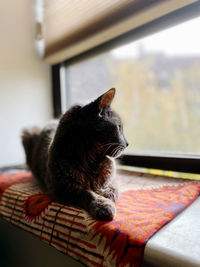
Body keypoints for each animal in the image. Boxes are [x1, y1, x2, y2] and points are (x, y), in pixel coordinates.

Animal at [21, 89, 128, 221]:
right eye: (119, 127)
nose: (127, 143)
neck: (91, 161)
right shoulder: (62, 188)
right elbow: (86, 193)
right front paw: (103, 205)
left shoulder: (113, 179)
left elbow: (113, 190)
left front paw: (103, 193)